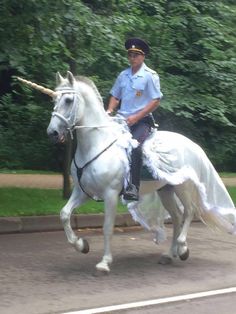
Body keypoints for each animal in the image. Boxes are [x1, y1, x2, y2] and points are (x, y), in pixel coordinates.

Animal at [17, 72, 236, 272]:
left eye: (69, 100)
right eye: (54, 100)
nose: (52, 133)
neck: (96, 144)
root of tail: (192, 145)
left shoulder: (110, 194)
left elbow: (107, 228)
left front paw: (104, 262)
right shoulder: (82, 192)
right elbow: (64, 214)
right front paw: (81, 245)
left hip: (182, 185)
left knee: (189, 212)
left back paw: (182, 248)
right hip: (165, 189)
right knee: (177, 216)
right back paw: (169, 254)